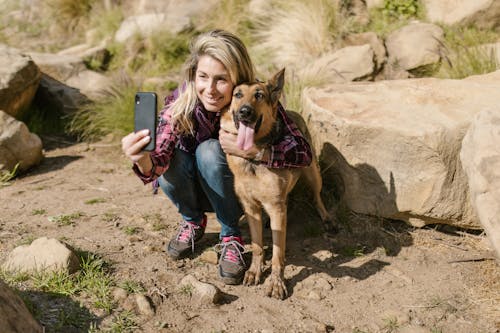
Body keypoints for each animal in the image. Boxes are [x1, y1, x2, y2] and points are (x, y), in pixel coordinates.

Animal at [221, 68, 338, 298]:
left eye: (259, 95)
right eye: (237, 95)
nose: (244, 112)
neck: (253, 160)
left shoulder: (277, 208)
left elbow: (277, 253)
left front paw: (276, 282)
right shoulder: (251, 208)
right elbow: (258, 246)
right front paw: (254, 271)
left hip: (313, 173)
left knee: (317, 197)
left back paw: (327, 218)